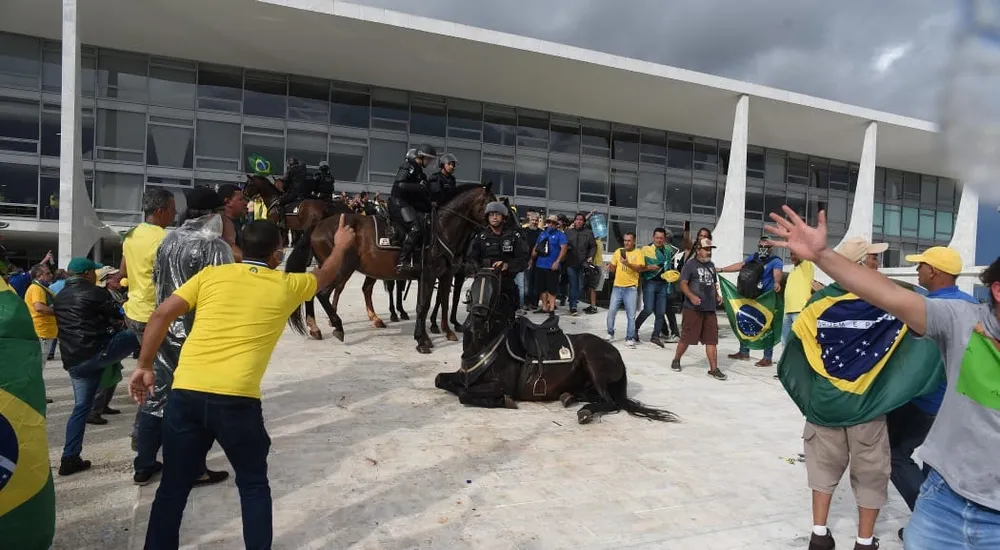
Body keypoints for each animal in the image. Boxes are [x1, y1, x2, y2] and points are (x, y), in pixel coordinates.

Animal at [286, 182, 496, 354]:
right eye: (489, 203)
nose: (499, 222)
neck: (441, 229)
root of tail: (318, 225)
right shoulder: (428, 275)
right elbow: (423, 306)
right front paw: (422, 340)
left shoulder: (444, 275)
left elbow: (441, 302)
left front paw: (442, 332)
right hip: (341, 268)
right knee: (323, 293)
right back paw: (337, 325)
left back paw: (316, 327)